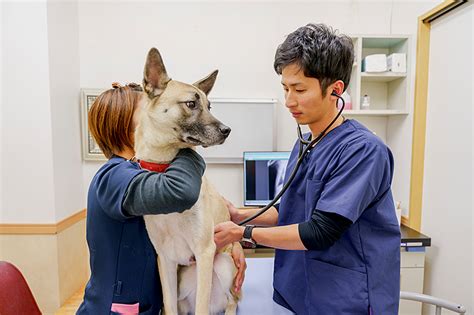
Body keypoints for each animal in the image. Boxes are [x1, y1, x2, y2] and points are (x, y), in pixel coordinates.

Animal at [134, 47, 241, 315]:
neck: (165, 172)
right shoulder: (165, 260)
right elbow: (169, 305)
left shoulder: (205, 252)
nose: (227, 130)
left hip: (223, 264)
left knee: (232, 301)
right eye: (191, 104)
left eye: (209, 106)